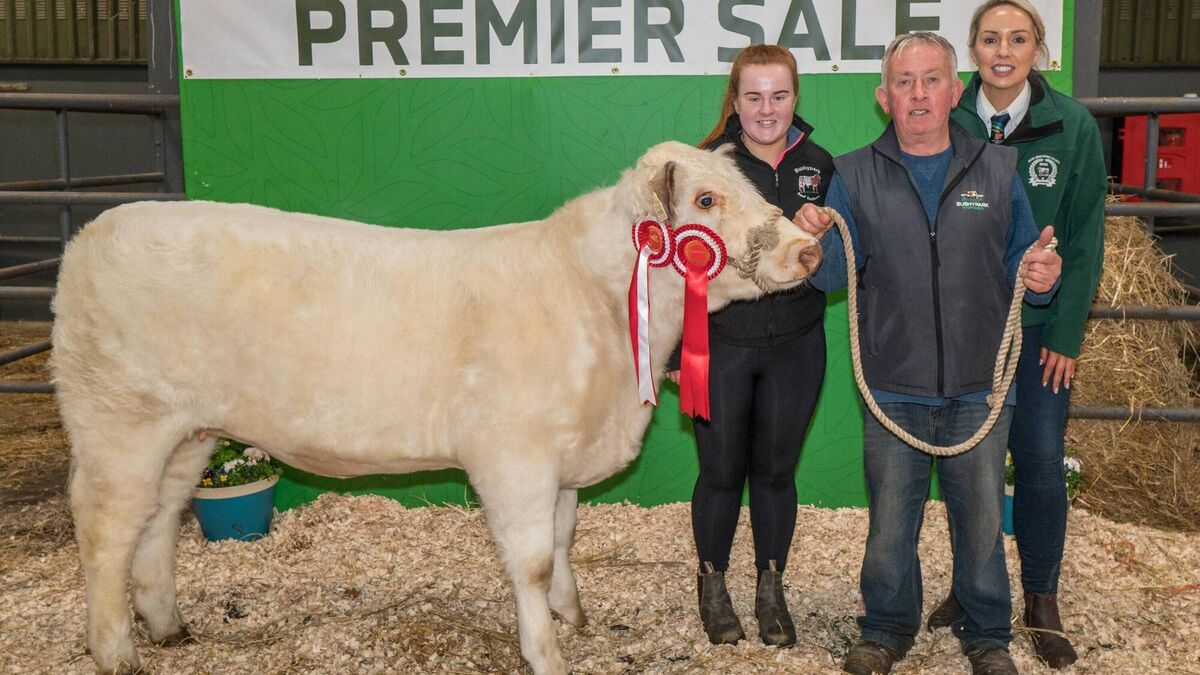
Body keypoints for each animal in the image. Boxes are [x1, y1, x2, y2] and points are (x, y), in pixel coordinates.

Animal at [50, 141, 822, 674]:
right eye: (707, 203)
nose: (809, 247)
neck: (597, 302)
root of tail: (94, 234)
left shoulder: (562, 456)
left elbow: (564, 538)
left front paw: (572, 615)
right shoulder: (515, 455)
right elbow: (531, 559)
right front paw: (546, 650)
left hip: (187, 430)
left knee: (159, 519)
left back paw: (168, 624)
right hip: (119, 421)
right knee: (107, 526)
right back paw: (115, 649)